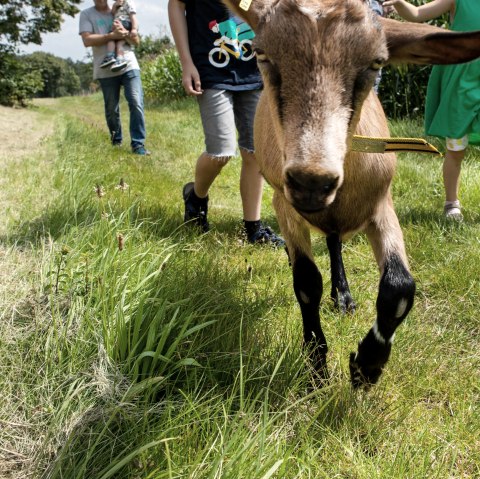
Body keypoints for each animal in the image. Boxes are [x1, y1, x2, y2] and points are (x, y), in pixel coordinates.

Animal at [223, 0, 480, 388]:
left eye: (377, 63)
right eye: (260, 53)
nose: (312, 181)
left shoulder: (381, 204)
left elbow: (399, 287)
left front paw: (367, 365)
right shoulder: (284, 203)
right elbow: (306, 282)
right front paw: (317, 368)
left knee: (334, 242)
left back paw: (343, 297)